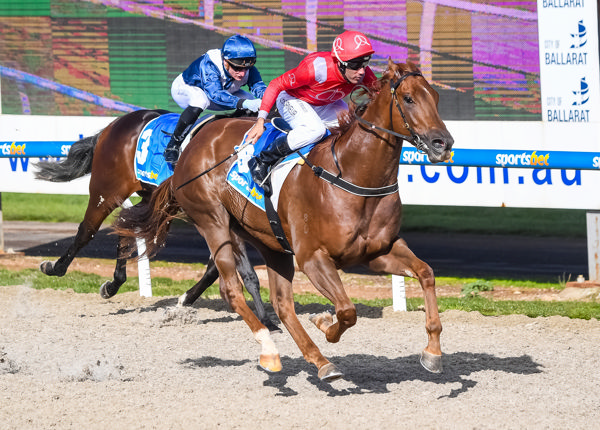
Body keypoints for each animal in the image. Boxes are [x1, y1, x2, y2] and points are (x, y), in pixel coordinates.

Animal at [36, 109, 280, 330]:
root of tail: (115, 124)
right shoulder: (222, 217)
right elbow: (243, 271)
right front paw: (266, 320)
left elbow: (215, 267)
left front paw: (186, 298)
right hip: (106, 191)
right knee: (87, 230)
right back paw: (54, 267)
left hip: (149, 199)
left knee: (126, 224)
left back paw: (113, 284)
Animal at [113, 59, 454, 380]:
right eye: (408, 98)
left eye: (436, 97)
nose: (443, 143)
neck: (353, 175)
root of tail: (189, 146)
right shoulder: (312, 257)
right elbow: (346, 311)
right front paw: (324, 322)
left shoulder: (377, 252)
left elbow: (426, 273)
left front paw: (433, 352)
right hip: (213, 221)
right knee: (231, 289)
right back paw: (269, 350)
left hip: (269, 241)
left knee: (282, 304)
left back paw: (319, 361)